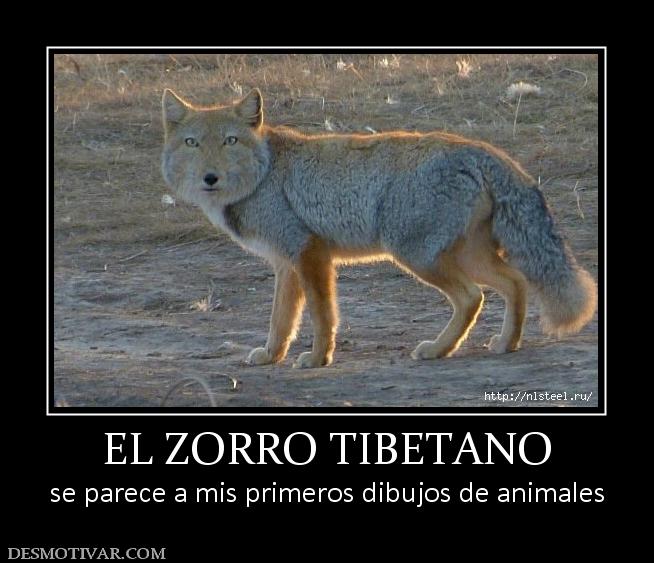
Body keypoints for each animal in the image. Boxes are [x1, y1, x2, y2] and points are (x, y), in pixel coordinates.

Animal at [161, 88, 597, 369]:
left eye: (230, 141)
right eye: (192, 143)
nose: (210, 177)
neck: (265, 173)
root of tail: (478, 148)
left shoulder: (309, 253)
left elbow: (321, 315)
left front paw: (318, 358)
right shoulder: (286, 264)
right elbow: (280, 320)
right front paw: (271, 356)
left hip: (417, 256)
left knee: (472, 297)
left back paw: (438, 350)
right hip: (466, 255)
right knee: (515, 283)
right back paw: (506, 343)